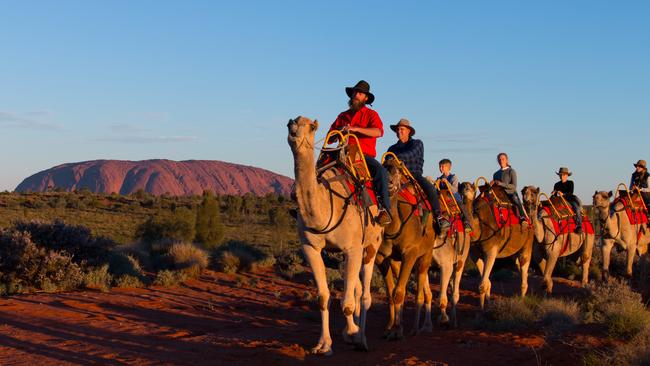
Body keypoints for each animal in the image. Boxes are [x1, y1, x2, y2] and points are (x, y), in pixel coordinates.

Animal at [286, 116, 382, 354]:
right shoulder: (311, 248)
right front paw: (324, 345)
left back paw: (362, 338)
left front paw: (355, 335)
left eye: (311, 127)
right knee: (356, 288)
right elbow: (324, 298)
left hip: (372, 245)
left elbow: (347, 302)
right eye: (291, 121)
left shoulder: (353, 248)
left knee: (365, 294)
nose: (293, 130)